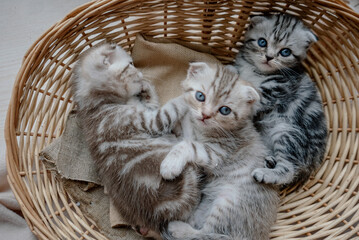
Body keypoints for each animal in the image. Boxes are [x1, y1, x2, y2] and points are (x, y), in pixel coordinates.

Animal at [161, 62, 282, 240]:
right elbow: (185, 131)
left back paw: (178, 228)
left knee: (206, 233)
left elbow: (187, 145)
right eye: (200, 96)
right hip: (207, 204)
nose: (205, 115)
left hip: (227, 203)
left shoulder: (218, 153)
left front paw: (170, 165)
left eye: (225, 110)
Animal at [233, 13, 330, 189]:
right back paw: (270, 161)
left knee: (289, 169)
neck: (256, 71)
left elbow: (253, 97)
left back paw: (266, 174)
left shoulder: (276, 89)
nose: (269, 57)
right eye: (262, 42)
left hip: (288, 133)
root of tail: (314, 163)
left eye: (285, 52)